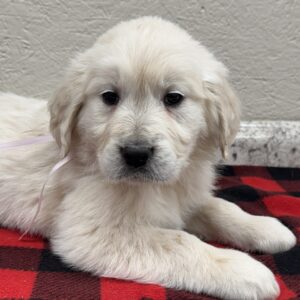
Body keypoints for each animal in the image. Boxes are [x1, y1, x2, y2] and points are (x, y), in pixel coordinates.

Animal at [0, 17, 296, 298]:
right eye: (109, 97)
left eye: (173, 98)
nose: (136, 154)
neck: (159, 187)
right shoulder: (94, 232)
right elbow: (179, 242)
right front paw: (241, 269)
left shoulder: (186, 197)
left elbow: (219, 207)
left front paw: (264, 228)